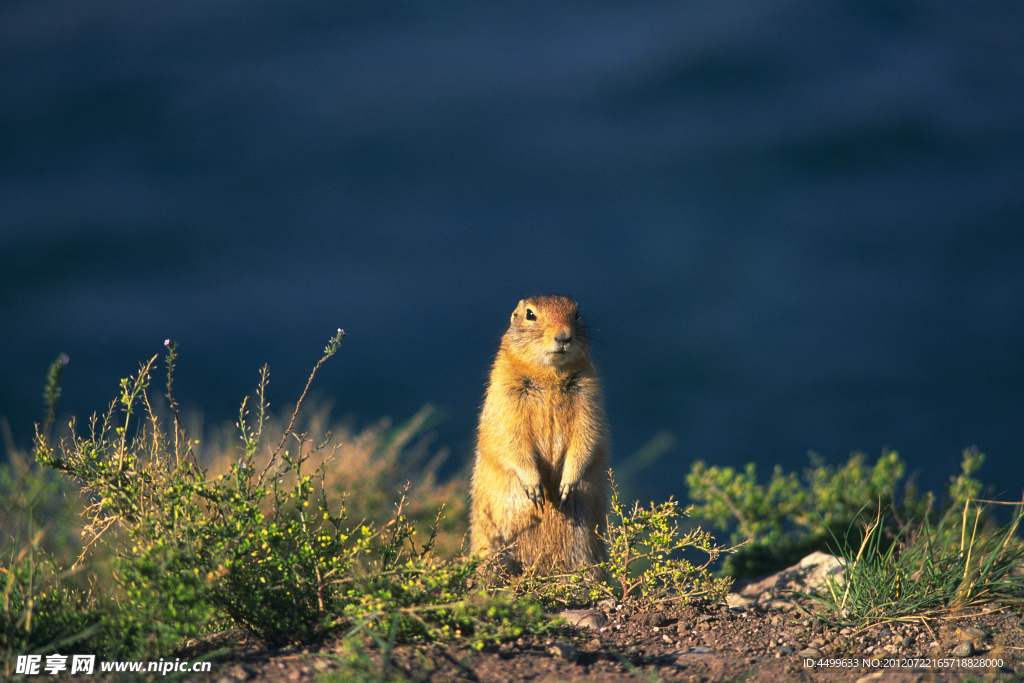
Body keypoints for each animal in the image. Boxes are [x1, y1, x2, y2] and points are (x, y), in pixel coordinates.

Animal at [468, 294, 606, 577]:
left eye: (577, 313)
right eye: (530, 314)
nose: (564, 336)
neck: (549, 375)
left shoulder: (589, 394)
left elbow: (587, 435)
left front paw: (566, 485)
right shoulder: (504, 393)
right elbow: (510, 437)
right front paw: (534, 487)